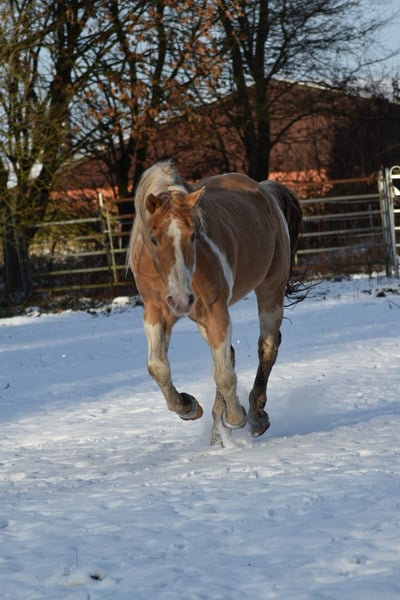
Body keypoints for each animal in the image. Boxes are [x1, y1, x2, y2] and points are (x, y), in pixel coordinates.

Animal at [128, 161, 302, 446]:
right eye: (153, 238)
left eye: (193, 235)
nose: (180, 300)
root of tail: (265, 190)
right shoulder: (156, 312)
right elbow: (158, 367)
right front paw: (188, 406)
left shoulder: (215, 310)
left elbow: (225, 375)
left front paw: (235, 417)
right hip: (201, 317)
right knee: (230, 354)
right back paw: (218, 435)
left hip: (270, 289)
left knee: (267, 347)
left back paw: (255, 418)